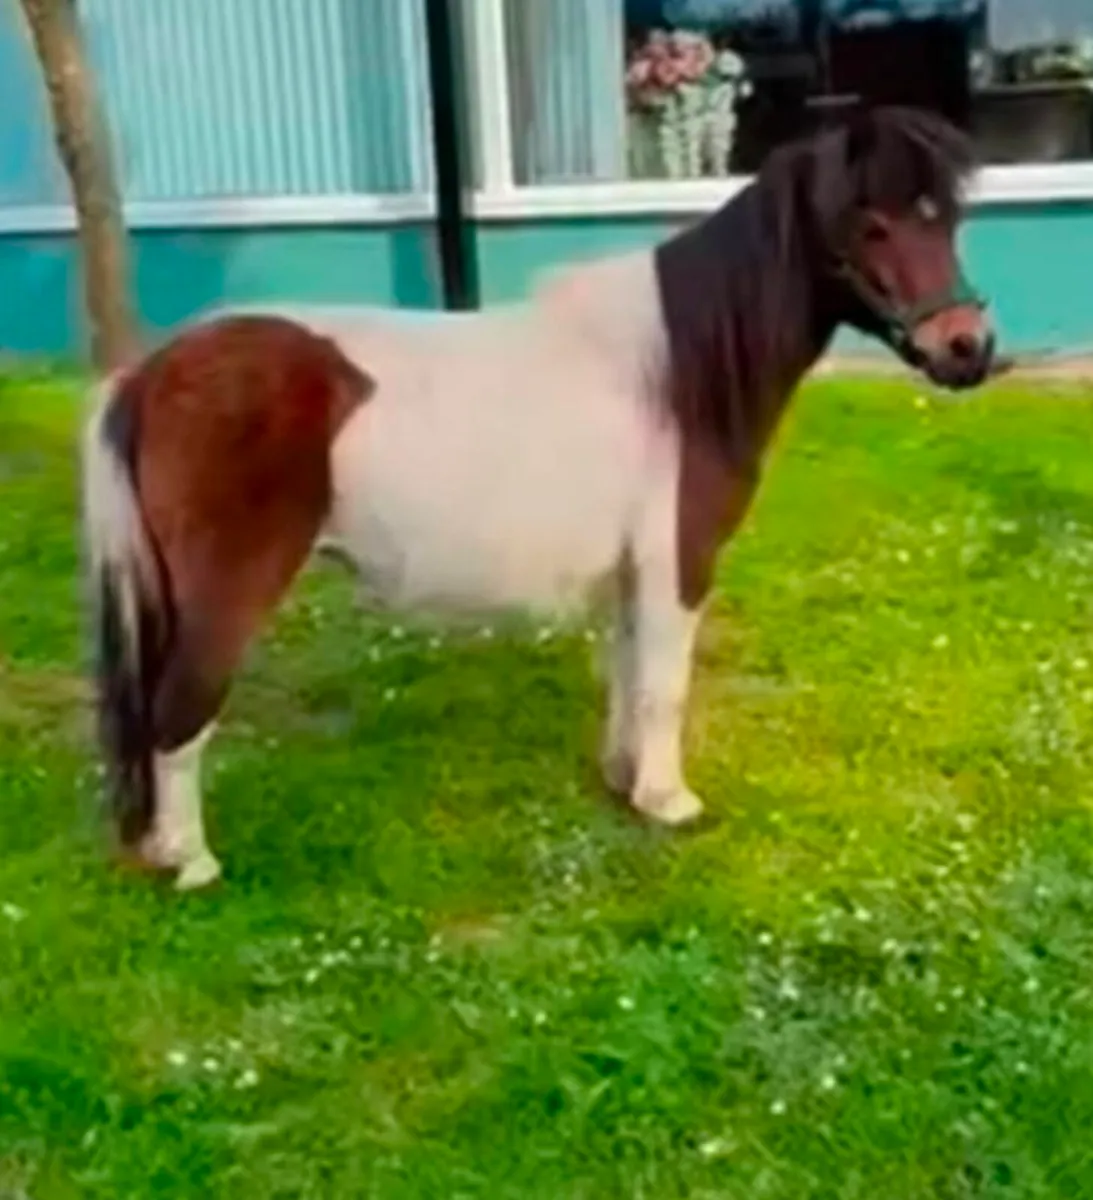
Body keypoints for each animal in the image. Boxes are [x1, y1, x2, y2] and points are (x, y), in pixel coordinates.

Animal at [81, 105, 998, 890]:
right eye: (870, 223)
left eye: (945, 219)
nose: (968, 348)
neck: (675, 371)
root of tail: (148, 377)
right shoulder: (678, 562)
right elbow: (662, 683)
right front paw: (670, 803)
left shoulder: (632, 572)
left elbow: (627, 675)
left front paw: (625, 782)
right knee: (178, 714)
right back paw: (191, 862)